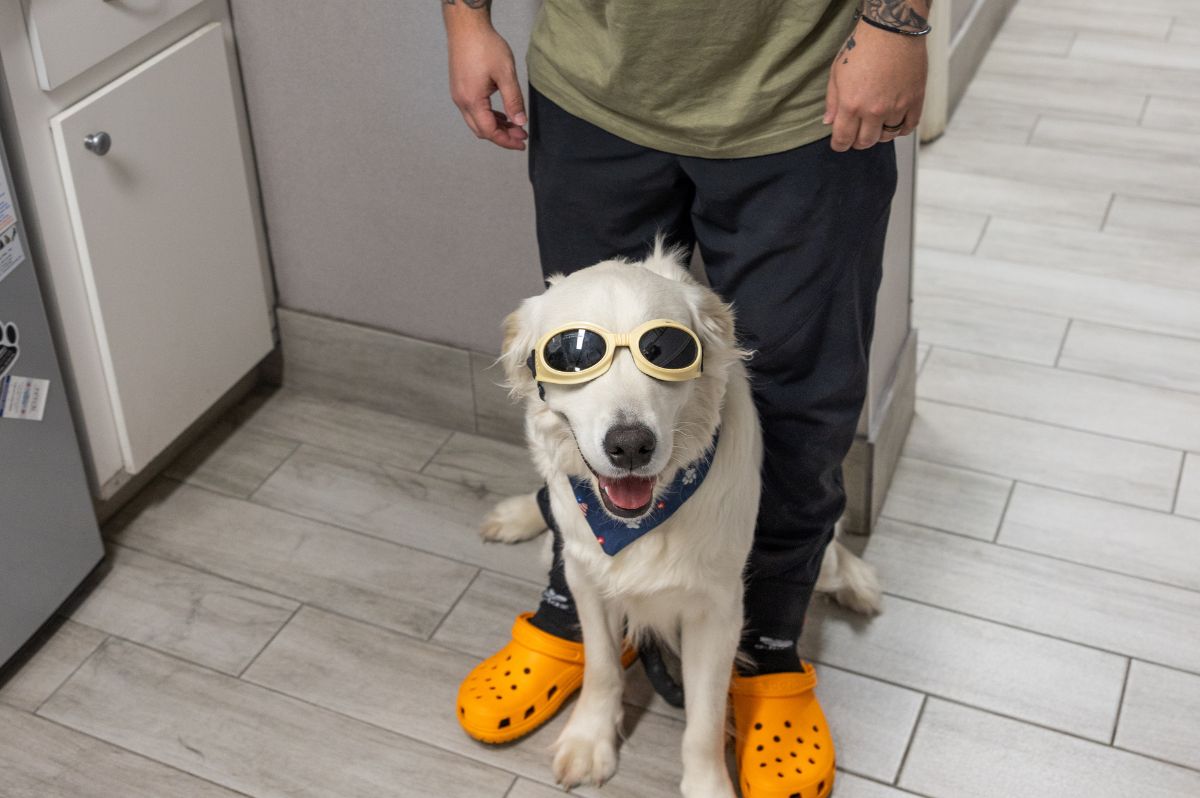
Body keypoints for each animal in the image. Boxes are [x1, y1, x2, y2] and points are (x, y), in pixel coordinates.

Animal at [480, 242, 883, 796]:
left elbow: (705, 721)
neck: (637, 524)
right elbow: (602, 668)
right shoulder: (588, 577)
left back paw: (858, 584)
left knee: (832, 553)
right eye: (571, 353)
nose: (630, 445)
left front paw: (708, 785)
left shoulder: (716, 610)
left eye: (665, 350)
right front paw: (589, 740)